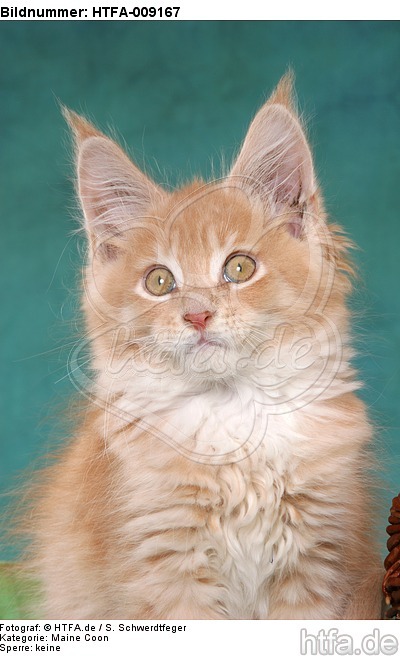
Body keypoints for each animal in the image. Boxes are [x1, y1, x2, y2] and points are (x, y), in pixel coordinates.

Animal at [26, 74, 382, 616]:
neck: (232, 416)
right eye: (159, 282)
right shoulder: (164, 568)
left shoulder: (318, 565)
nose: (197, 315)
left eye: (239, 267)